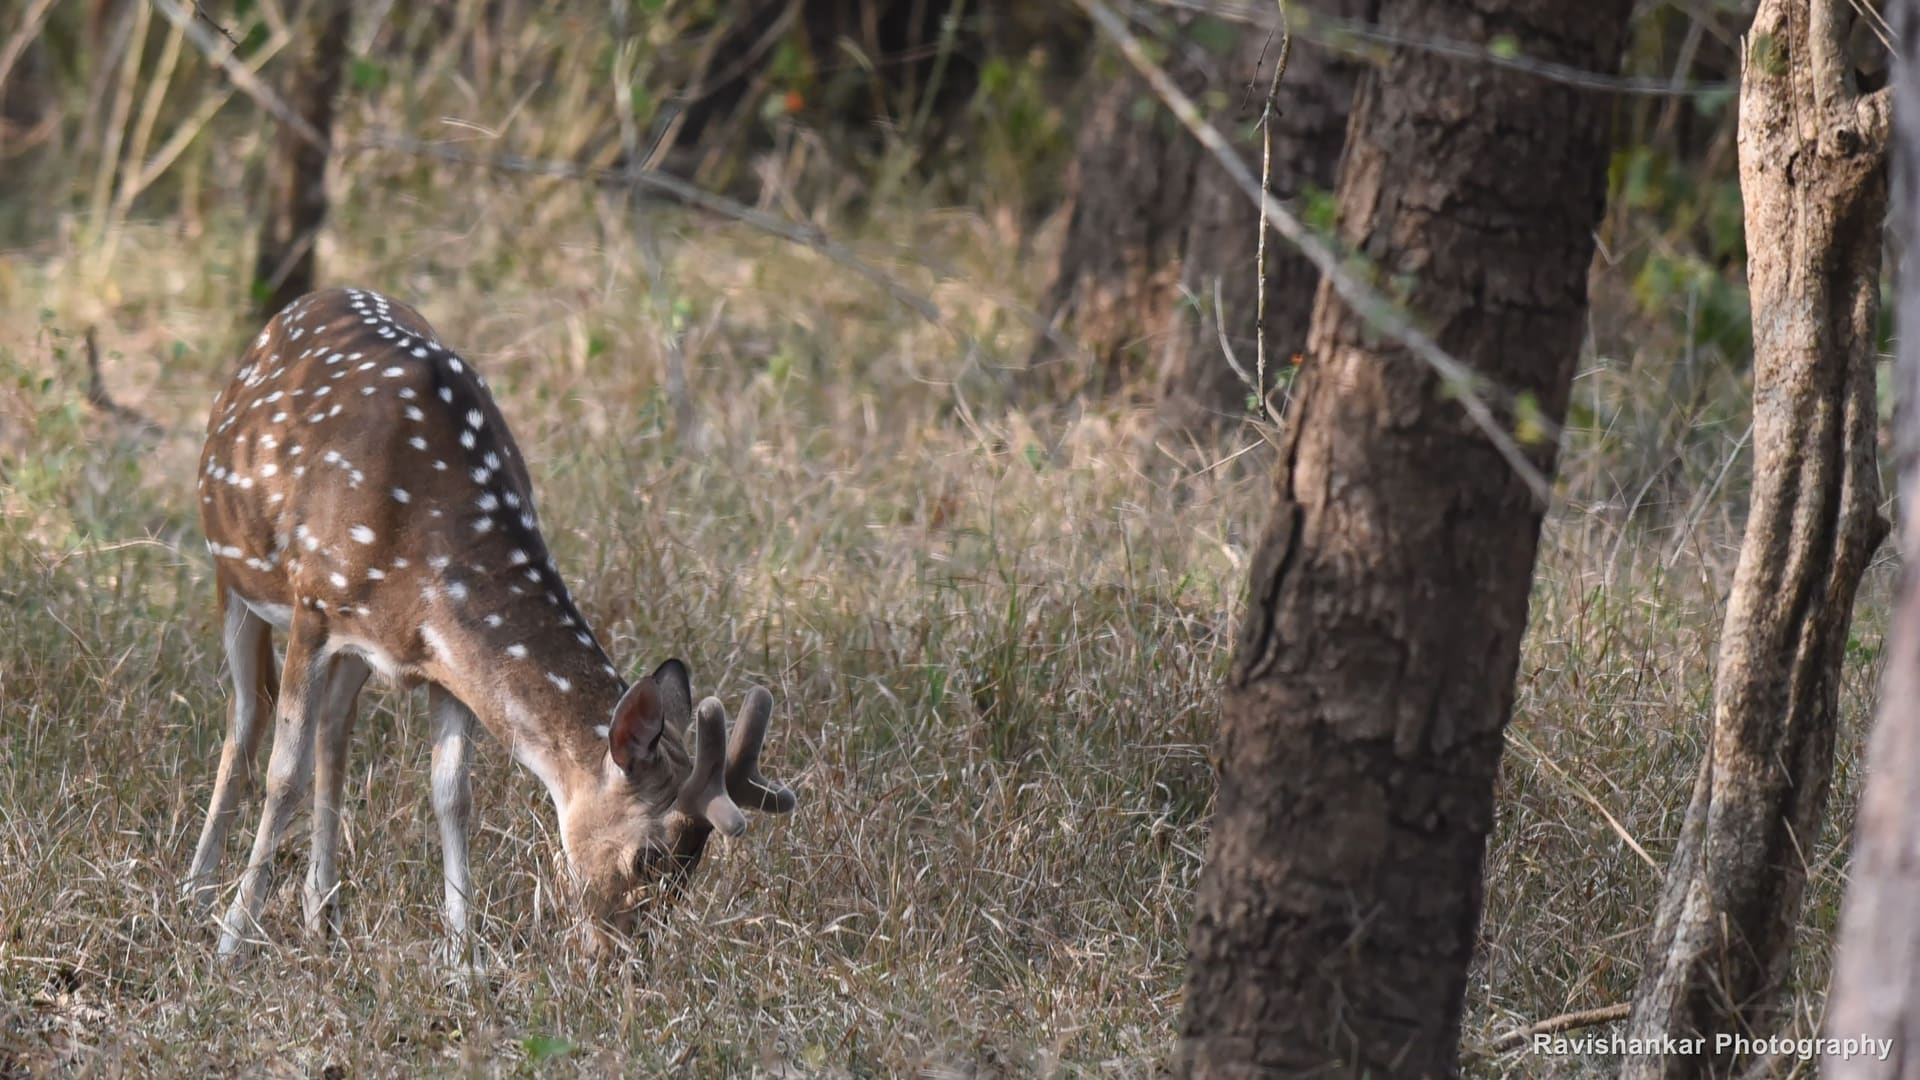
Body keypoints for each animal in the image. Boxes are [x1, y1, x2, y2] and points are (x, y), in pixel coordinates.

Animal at [184, 286, 796, 960]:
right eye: (649, 856)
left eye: (695, 866)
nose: (622, 957)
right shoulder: (314, 606)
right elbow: (282, 776)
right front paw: (233, 939)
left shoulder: (441, 659)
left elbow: (454, 794)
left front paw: (465, 957)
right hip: (236, 578)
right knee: (249, 714)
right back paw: (197, 893)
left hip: (353, 650)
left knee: (332, 731)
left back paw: (324, 913)